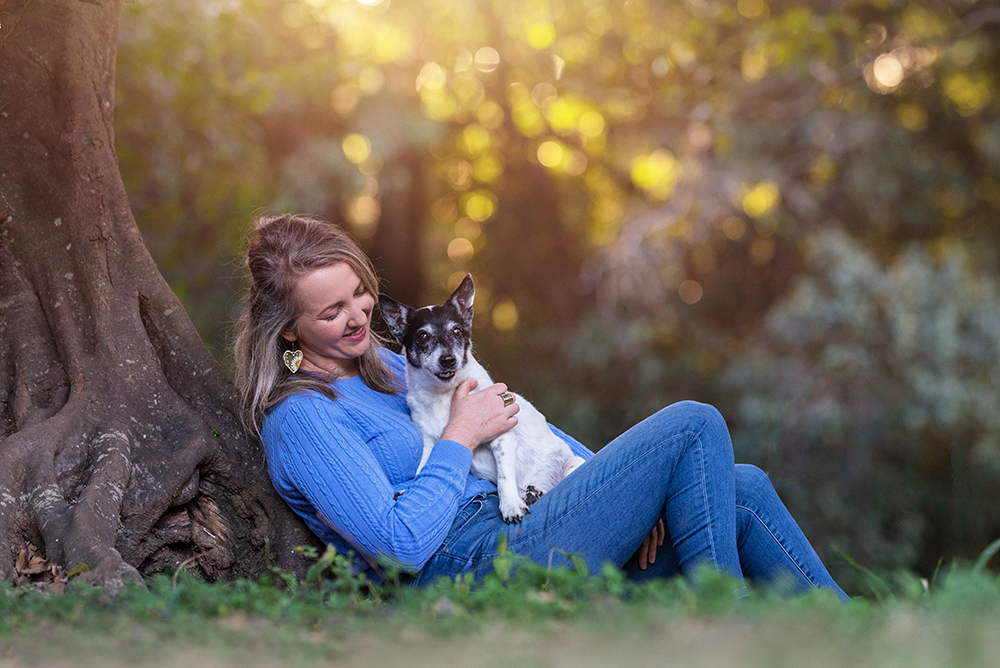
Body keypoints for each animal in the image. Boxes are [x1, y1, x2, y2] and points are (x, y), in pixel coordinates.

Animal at [380, 274, 584, 524]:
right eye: (422, 336)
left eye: (457, 331)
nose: (448, 360)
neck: (444, 394)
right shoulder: (429, 443)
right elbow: (423, 470)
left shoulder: (502, 438)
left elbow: (505, 477)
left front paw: (510, 507)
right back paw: (532, 494)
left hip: (574, 463)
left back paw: (533, 493)